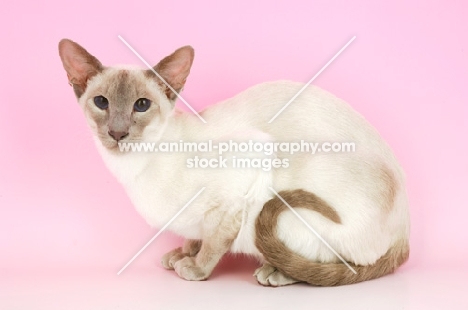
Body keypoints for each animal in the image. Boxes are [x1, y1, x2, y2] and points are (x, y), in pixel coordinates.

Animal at [57, 39, 410, 288]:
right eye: (101, 103)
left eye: (141, 105)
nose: (117, 133)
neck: (135, 169)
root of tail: (404, 232)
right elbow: (197, 236)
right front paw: (183, 253)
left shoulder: (240, 179)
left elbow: (214, 241)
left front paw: (195, 267)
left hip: (288, 202)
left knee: (340, 263)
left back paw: (275, 272)